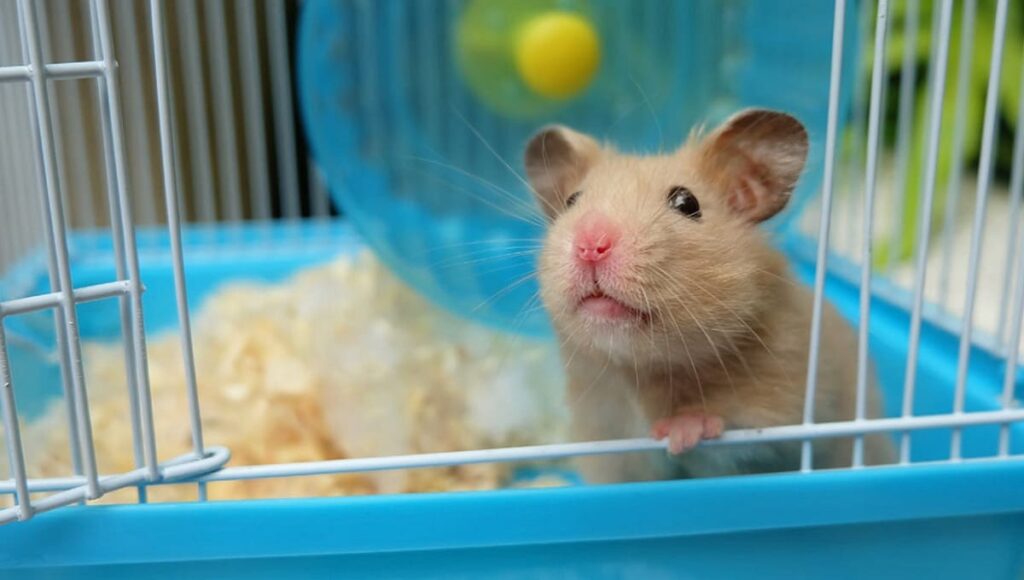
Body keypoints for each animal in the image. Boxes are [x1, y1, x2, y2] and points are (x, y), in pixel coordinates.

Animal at [523, 108, 895, 483]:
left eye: (687, 203)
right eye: (571, 201)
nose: (590, 245)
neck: (643, 373)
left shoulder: (785, 413)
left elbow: (736, 434)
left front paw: (679, 431)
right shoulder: (609, 445)